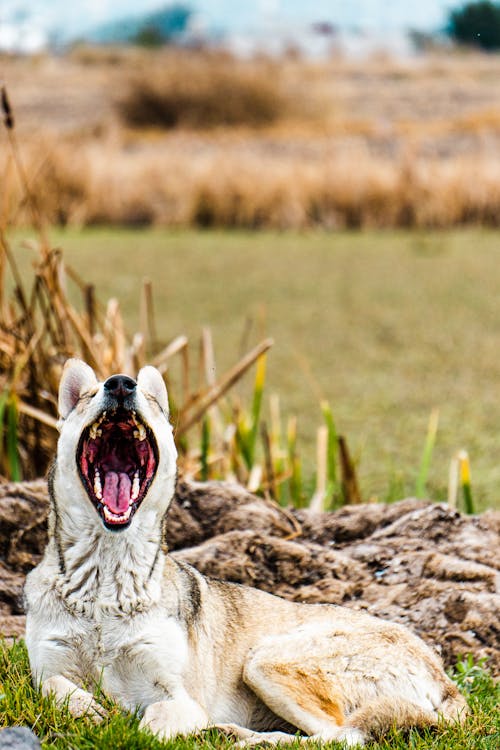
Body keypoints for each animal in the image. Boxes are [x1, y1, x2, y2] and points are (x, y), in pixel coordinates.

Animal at [23, 360, 468, 748]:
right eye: (91, 394)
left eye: (146, 398)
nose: (120, 384)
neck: (106, 580)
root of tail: (446, 679)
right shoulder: (46, 669)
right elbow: (56, 689)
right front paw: (89, 711)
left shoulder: (181, 698)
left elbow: (152, 724)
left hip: (264, 660)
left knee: (342, 736)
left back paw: (242, 737)